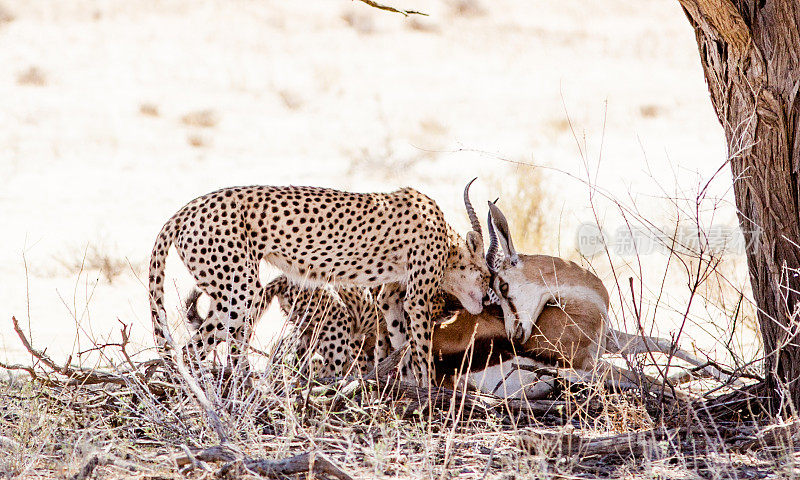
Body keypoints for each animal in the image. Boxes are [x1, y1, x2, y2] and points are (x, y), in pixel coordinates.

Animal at [147, 181, 490, 382]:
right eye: (486, 276)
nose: (487, 298)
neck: (448, 243)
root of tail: (185, 209)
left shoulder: (391, 295)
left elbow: (398, 338)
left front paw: (401, 383)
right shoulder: (417, 298)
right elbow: (420, 347)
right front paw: (429, 394)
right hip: (240, 290)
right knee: (192, 351)